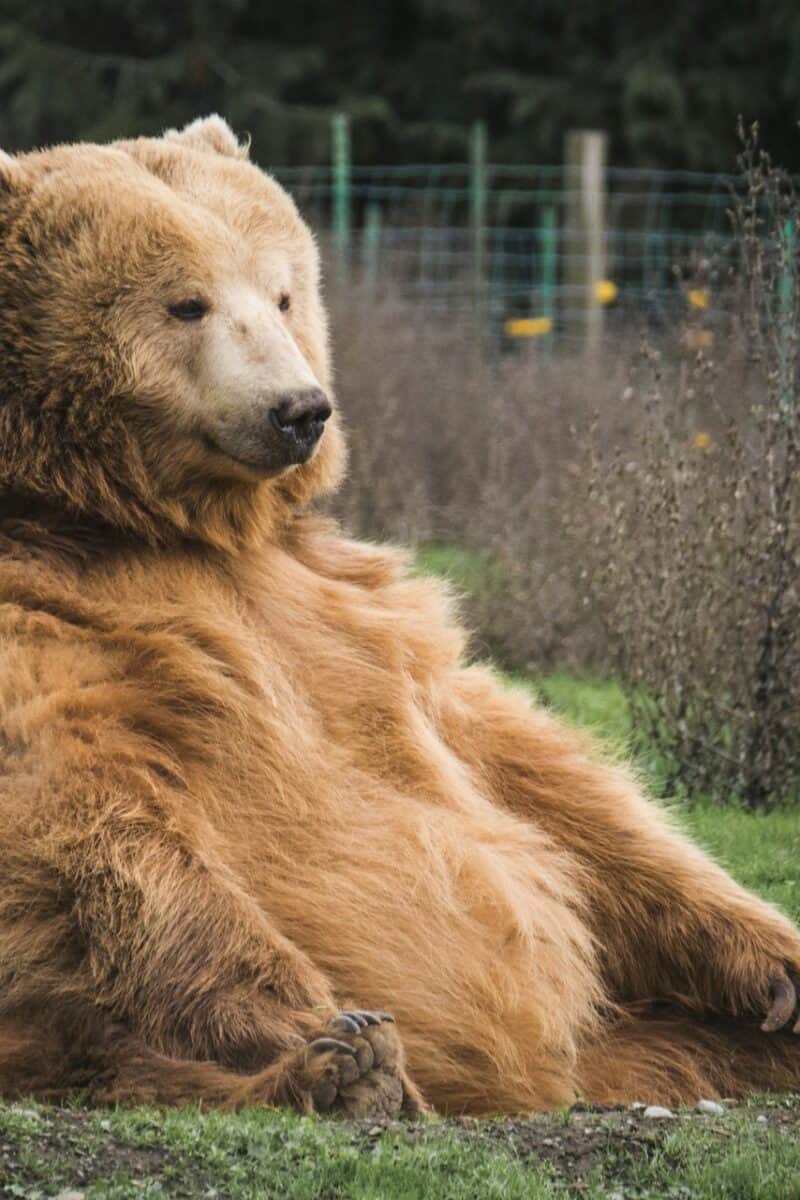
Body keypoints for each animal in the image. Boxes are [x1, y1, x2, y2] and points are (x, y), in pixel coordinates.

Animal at [0, 115, 799, 1119]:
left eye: (283, 292)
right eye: (187, 303)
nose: (299, 409)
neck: (159, 523)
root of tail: (551, 1077)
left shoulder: (357, 611)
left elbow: (538, 775)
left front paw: (775, 962)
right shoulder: (61, 625)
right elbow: (94, 827)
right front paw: (332, 1032)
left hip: (635, 1030)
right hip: (53, 1027)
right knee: (101, 1039)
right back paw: (340, 1075)